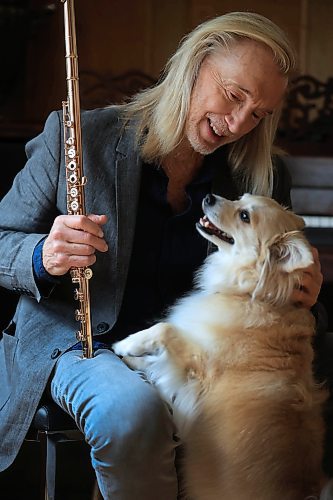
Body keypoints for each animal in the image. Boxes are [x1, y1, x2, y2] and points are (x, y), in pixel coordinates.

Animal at [113, 192, 326, 500]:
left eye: (245, 216)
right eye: (240, 198)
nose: (209, 196)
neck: (250, 295)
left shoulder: (195, 376)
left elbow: (164, 331)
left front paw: (125, 344)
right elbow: (160, 357)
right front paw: (133, 359)